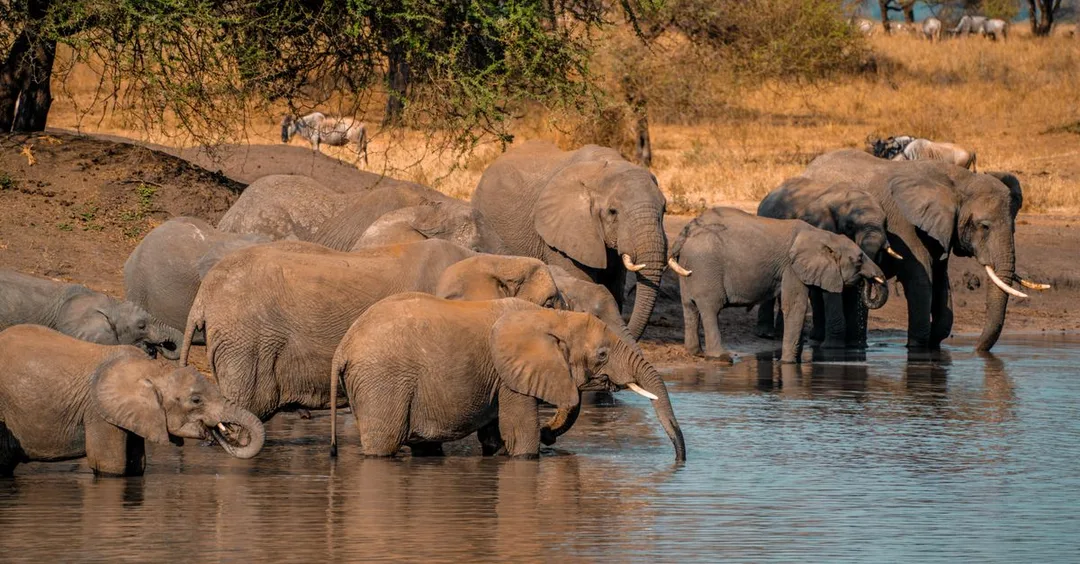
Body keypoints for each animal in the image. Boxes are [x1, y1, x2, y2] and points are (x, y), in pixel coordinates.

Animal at [0, 324, 264, 476]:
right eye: (196, 400)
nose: (218, 436)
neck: (154, 370)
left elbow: (137, 464)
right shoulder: (98, 412)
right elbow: (111, 465)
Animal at [329, 293, 686, 460]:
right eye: (602, 355)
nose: (680, 459)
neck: (552, 316)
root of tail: (342, 348)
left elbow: (496, 437)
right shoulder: (511, 375)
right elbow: (521, 439)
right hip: (381, 380)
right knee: (384, 443)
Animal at [666, 207, 887, 363]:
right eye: (859, 259)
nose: (869, 281)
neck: (822, 234)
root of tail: (685, 233)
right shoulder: (791, 268)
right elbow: (795, 307)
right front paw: (788, 363)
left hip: (690, 266)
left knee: (690, 307)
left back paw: (695, 352)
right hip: (705, 265)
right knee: (710, 308)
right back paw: (721, 358)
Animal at [756, 177, 895, 347]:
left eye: (886, 224)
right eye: (850, 226)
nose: (862, 344)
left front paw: (854, 346)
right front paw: (833, 347)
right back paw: (766, 334)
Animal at [801, 149, 1049, 351]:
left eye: (1014, 228)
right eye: (984, 226)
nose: (976, 350)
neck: (959, 181)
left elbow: (940, 279)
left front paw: (933, 341)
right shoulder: (902, 222)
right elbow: (920, 278)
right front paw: (916, 346)